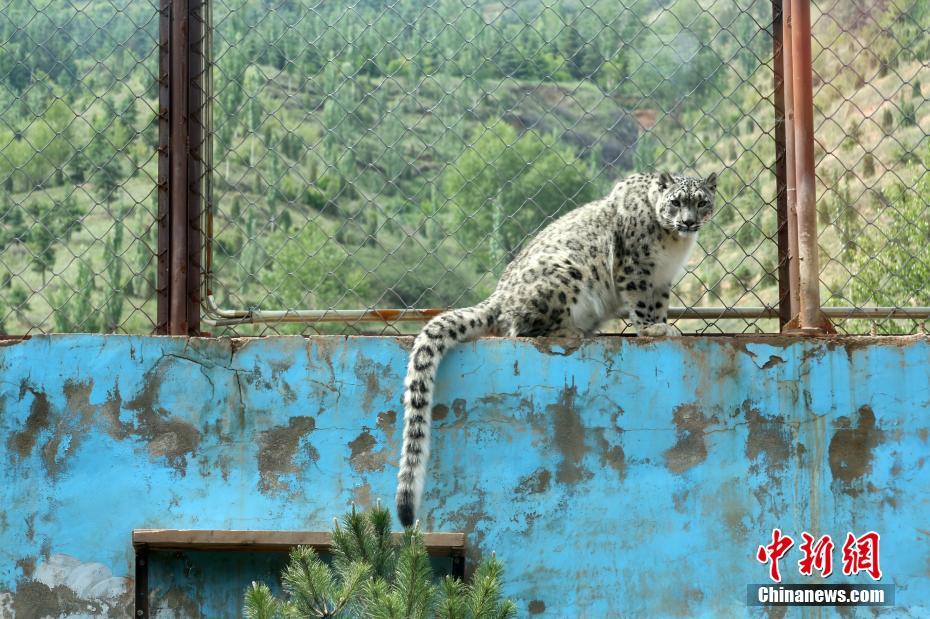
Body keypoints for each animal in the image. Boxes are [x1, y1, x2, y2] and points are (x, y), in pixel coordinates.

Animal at [396, 171, 716, 528]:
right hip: (564, 275)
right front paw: (652, 328)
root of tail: (498, 296)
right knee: (520, 329)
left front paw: (663, 325)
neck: (673, 246)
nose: (688, 221)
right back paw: (572, 330)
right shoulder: (636, 270)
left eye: (701, 202)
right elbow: (642, 304)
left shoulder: (661, 281)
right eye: (675, 201)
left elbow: (658, 305)